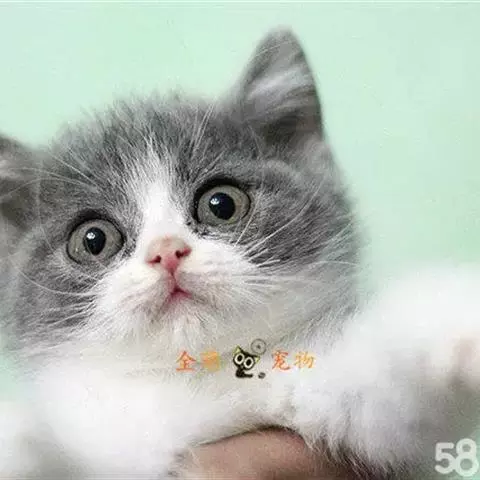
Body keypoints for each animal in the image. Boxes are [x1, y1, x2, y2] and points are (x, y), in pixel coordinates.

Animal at [1, 28, 480, 479]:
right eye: (93, 240)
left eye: (221, 204)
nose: (167, 252)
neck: (197, 377)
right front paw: (18, 444)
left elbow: (392, 398)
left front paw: (454, 320)